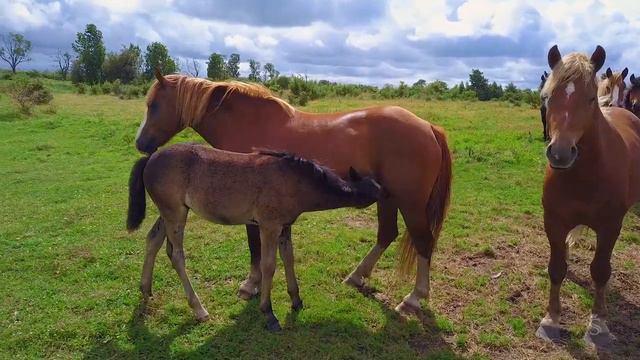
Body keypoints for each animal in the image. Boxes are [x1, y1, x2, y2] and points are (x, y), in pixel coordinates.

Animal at [127, 143, 382, 330]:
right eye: (376, 190)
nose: (388, 194)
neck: (294, 180)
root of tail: (151, 158)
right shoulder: (269, 226)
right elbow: (268, 266)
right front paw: (268, 313)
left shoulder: (285, 227)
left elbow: (289, 258)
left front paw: (296, 300)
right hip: (175, 213)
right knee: (176, 254)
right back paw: (199, 309)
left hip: (171, 212)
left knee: (153, 240)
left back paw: (145, 288)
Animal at [536, 44, 640, 346]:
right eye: (548, 96)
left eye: (591, 98)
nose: (560, 153)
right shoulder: (554, 222)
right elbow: (557, 267)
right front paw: (551, 320)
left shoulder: (610, 227)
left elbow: (600, 270)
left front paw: (598, 325)